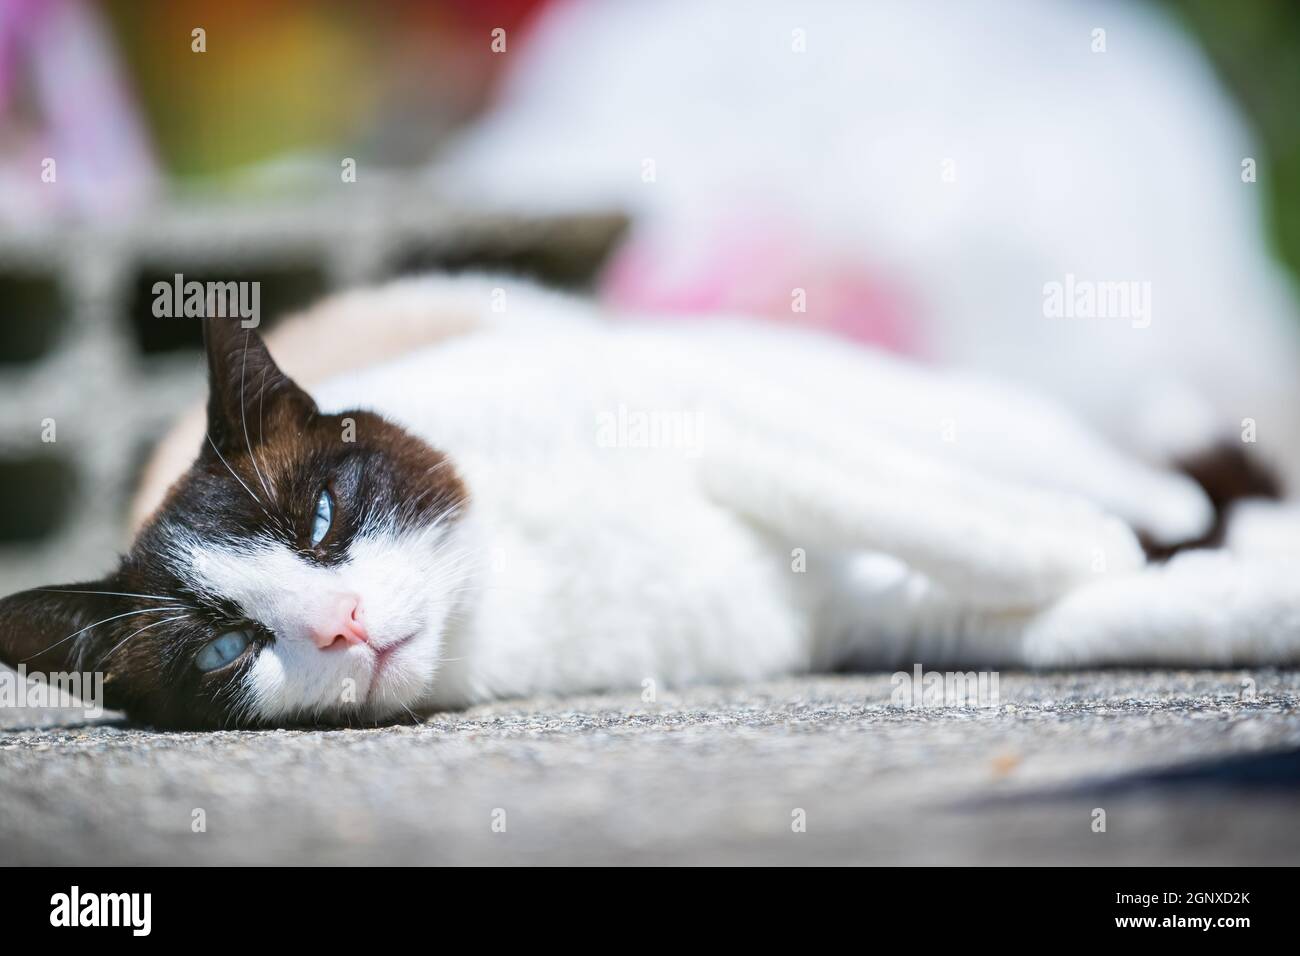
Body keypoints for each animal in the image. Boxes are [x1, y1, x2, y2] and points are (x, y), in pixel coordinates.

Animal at [2, 273, 1300, 728]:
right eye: (229, 647)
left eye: (320, 521)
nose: (343, 624)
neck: (511, 586)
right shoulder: (857, 618)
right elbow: (1080, 622)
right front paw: (1233, 602)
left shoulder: (696, 411)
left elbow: (892, 498)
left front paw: (1076, 544)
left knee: (1067, 461)